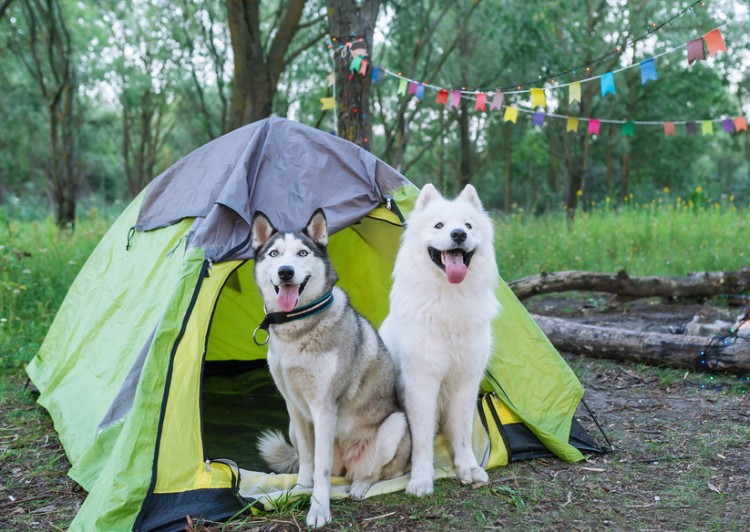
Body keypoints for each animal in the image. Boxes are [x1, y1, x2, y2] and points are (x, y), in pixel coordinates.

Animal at [253, 209, 412, 528]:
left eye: (302, 253)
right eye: (274, 254)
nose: (285, 272)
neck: (297, 326)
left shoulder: (324, 406)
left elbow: (322, 468)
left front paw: (318, 510)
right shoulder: (294, 406)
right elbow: (308, 460)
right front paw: (300, 489)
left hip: (396, 425)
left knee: (374, 472)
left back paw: (360, 486)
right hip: (293, 426)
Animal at [382, 184, 500, 498]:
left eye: (468, 226)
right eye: (439, 225)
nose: (458, 234)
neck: (449, 298)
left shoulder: (466, 380)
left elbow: (462, 432)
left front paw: (468, 468)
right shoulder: (421, 382)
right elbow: (422, 439)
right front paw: (421, 480)